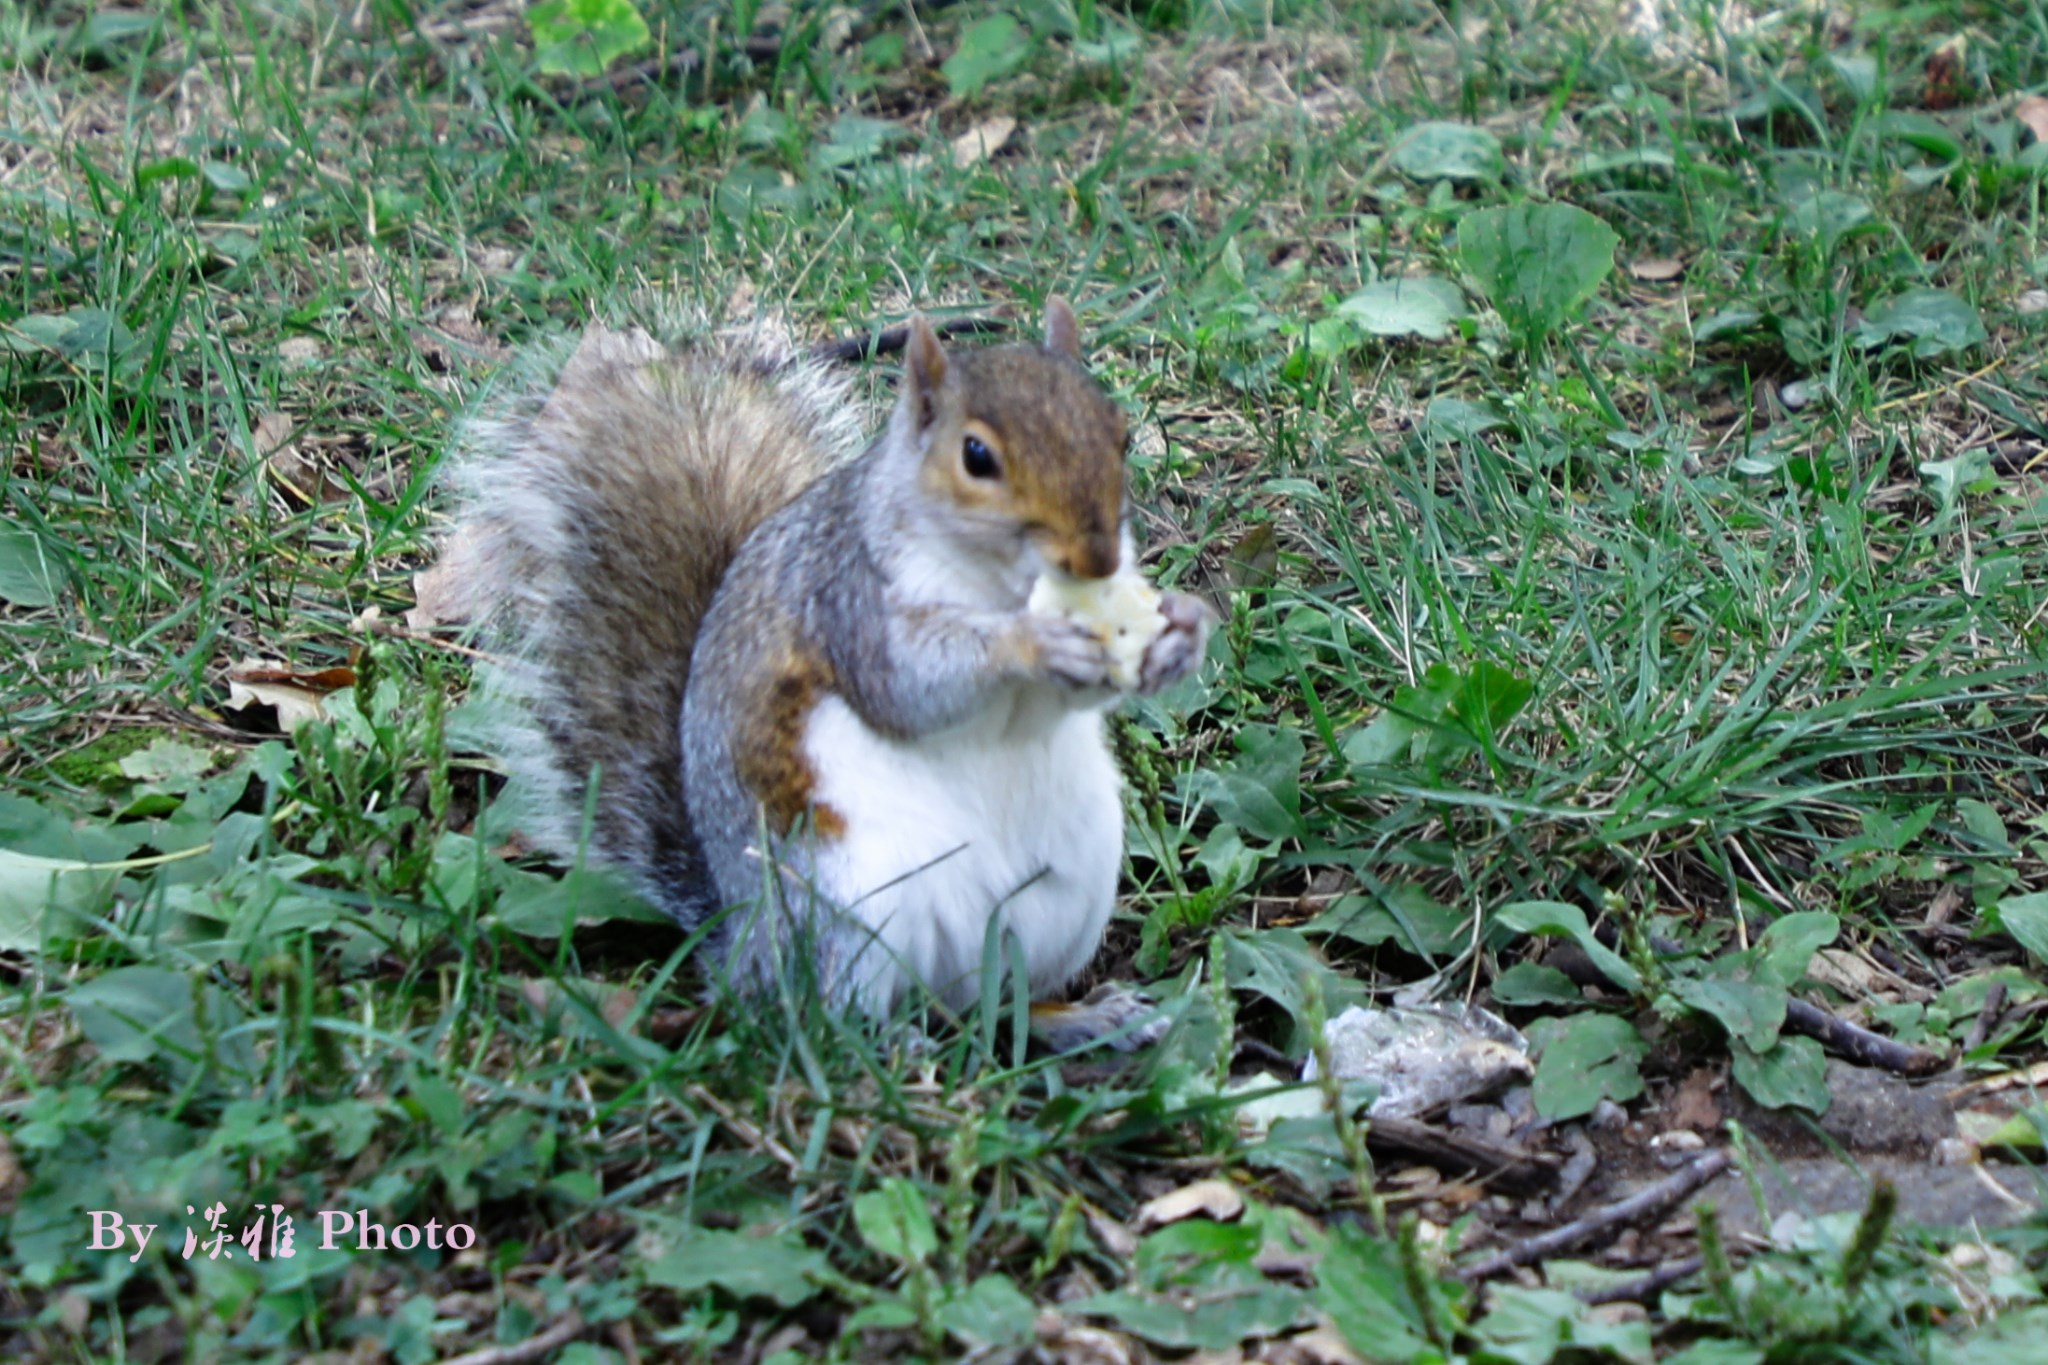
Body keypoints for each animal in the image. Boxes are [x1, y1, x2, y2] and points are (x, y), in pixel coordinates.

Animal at [448, 298, 1204, 1047]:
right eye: (977, 456)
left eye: (1120, 433)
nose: (1098, 558)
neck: (1001, 582)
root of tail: (741, 941)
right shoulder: (850, 603)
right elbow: (908, 688)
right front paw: (1032, 642)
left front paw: (1181, 630)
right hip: (847, 907)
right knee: (835, 1015)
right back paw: (891, 1044)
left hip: (1069, 898)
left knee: (995, 1005)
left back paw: (1083, 1018)